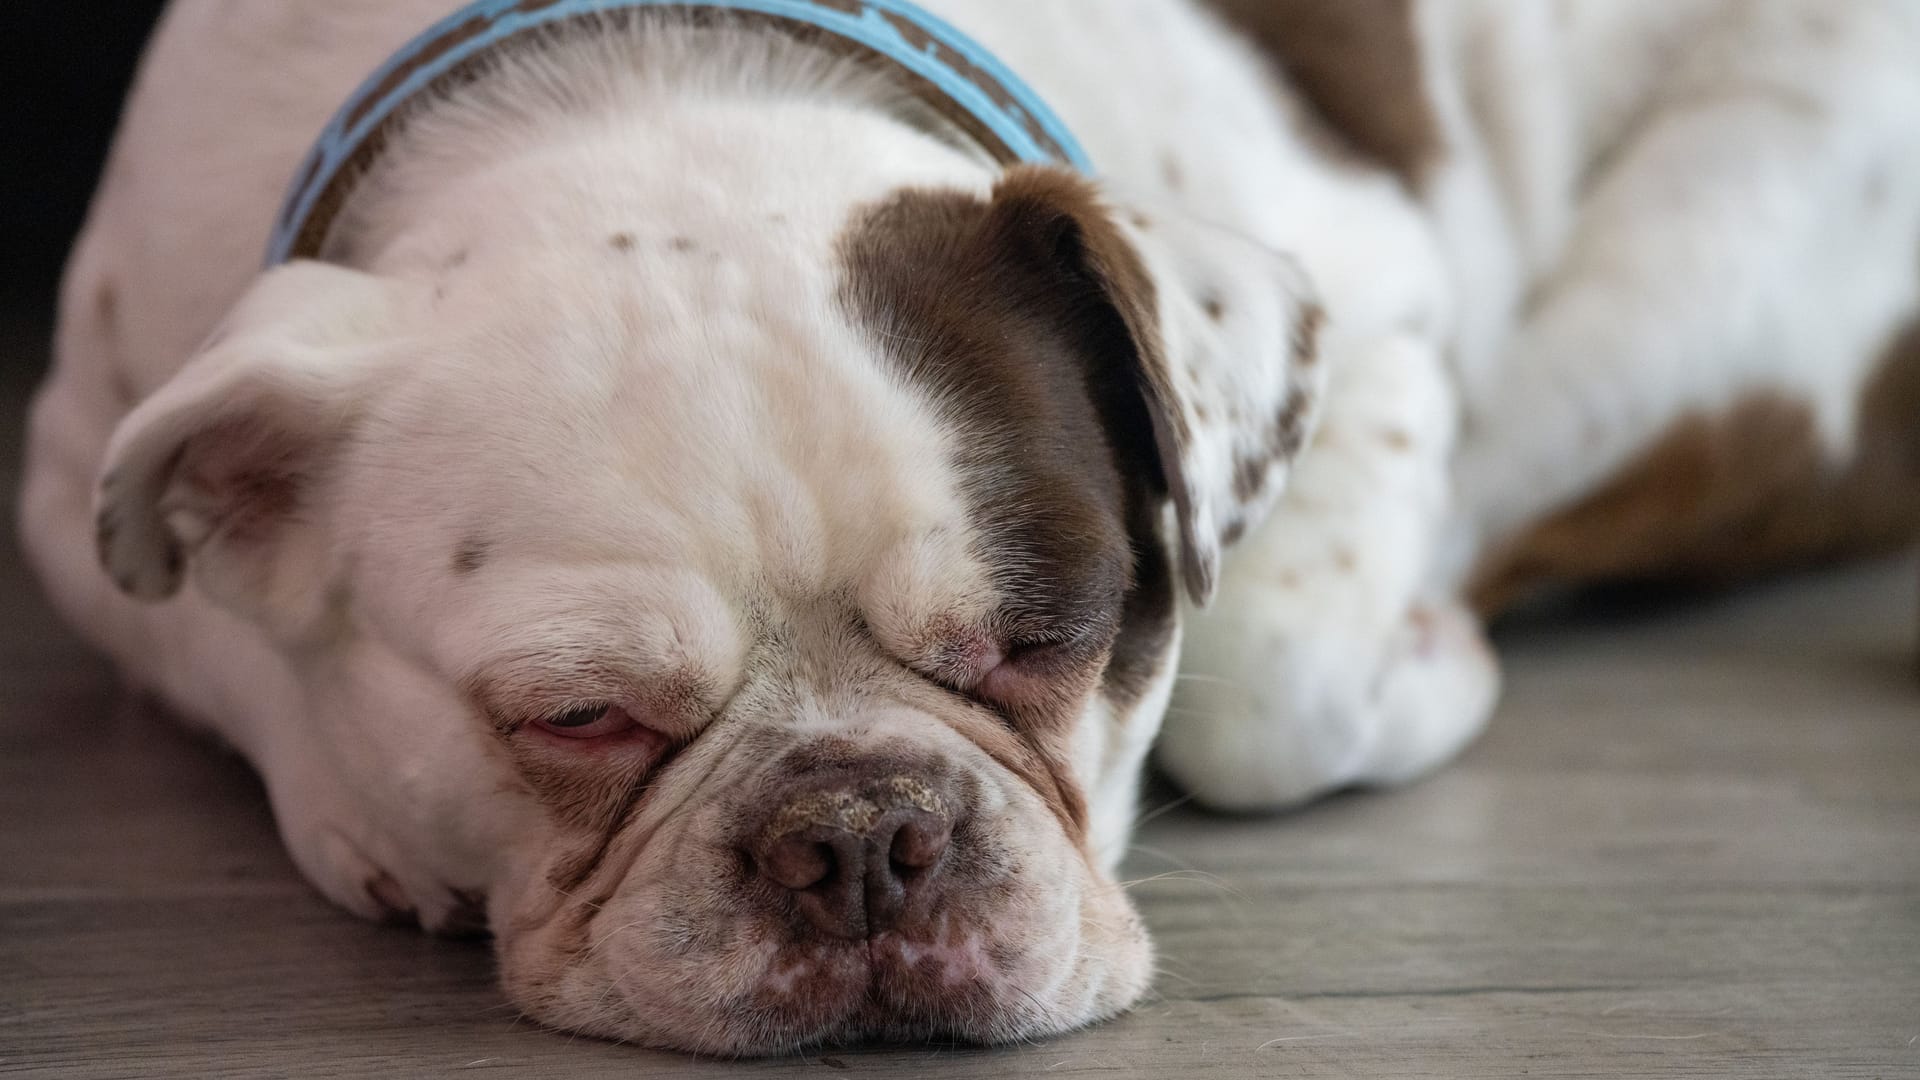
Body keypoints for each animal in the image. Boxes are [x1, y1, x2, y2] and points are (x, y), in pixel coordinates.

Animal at [18, 0, 1920, 1053]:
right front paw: (361, 808)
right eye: (580, 716)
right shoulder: (79, 459)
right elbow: (199, 620)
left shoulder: (1366, 290)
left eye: (1047, 640)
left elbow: (1270, 678)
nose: (862, 835)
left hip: (1713, 263)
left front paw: (1409, 649)